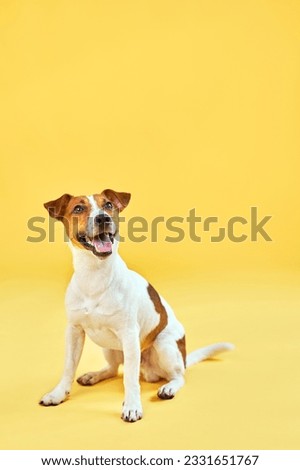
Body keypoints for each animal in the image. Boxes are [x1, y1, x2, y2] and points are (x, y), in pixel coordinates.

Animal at [38, 189, 233, 424]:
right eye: (78, 208)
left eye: (109, 205)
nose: (103, 218)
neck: (94, 275)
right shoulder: (74, 331)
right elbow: (68, 367)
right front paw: (58, 394)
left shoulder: (129, 334)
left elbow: (130, 379)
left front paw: (132, 406)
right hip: (110, 348)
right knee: (113, 369)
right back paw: (95, 375)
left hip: (164, 346)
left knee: (178, 376)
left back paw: (169, 387)